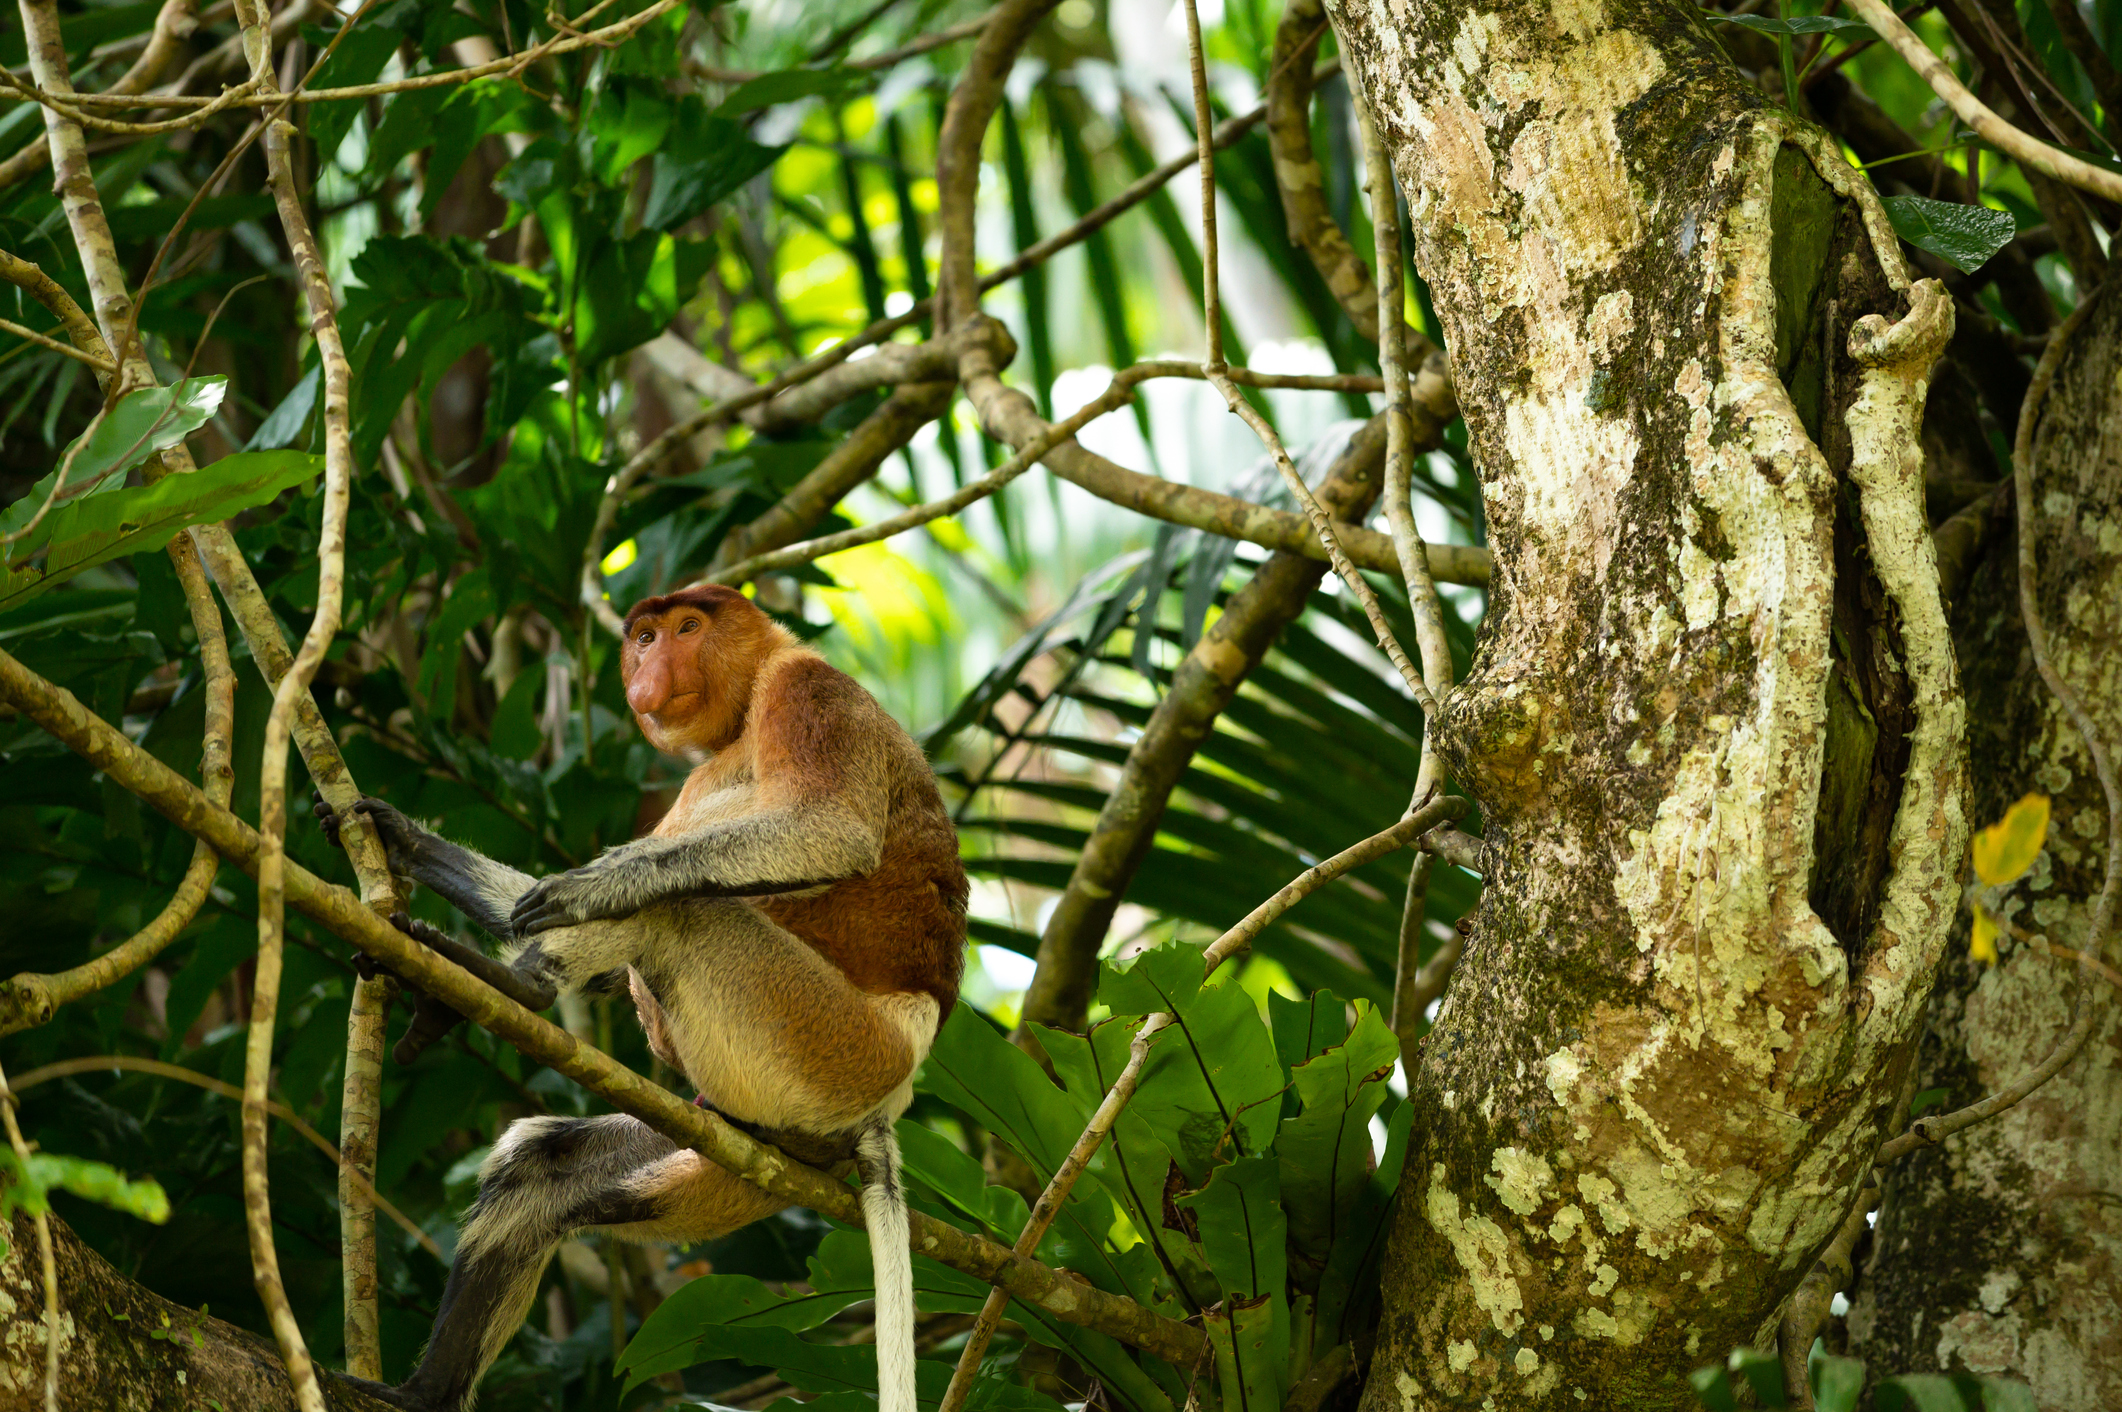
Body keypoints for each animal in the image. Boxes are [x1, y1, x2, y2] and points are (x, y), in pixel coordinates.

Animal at [324, 581, 971, 1409]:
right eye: (644, 637)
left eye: (688, 628)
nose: (649, 670)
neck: (745, 707)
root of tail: (893, 1088)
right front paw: (403, 837)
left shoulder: (807, 691)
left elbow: (830, 832)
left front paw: (587, 887)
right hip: (741, 1113)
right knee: (544, 1169)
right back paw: (423, 1393)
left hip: (821, 1041)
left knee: (683, 907)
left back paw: (509, 986)